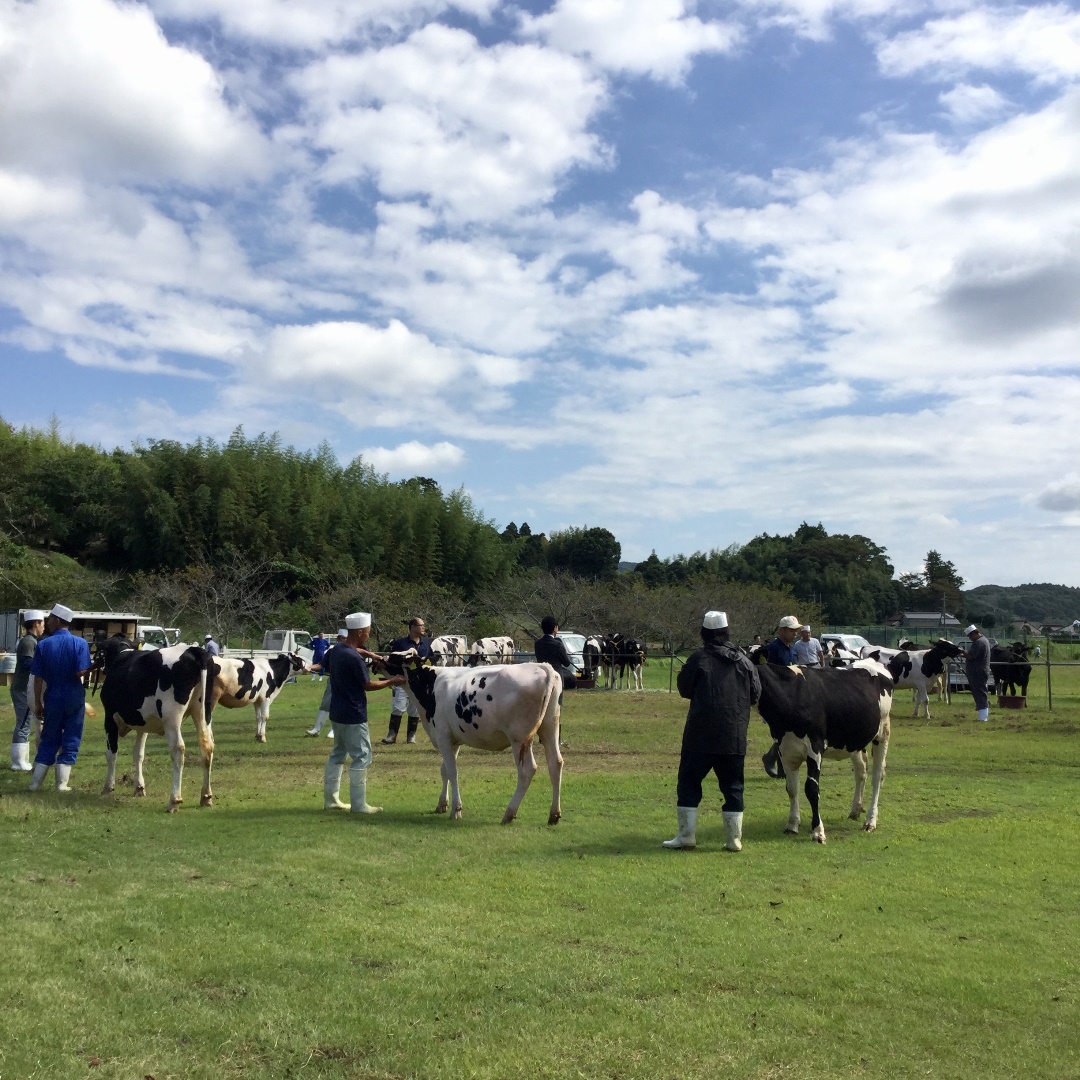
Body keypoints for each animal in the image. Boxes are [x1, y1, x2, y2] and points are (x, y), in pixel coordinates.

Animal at [98, 639, 213, 812]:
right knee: (207, 747)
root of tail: (194, 650)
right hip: (203, 713)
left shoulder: (109, 718)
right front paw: (139, 787)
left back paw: (174, 800)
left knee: (178, 749)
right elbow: (138, 754)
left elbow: (111, 754)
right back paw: (206, 796)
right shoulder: (143, 725)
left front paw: (108, 787)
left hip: (171, 718)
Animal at [390, 648, 565, 825]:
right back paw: (554, 815)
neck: (432, 684)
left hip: (519, 738)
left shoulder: (442, 736)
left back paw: (509, 813)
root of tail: (542, 667)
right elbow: (444, 770)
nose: (381, 660)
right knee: (555, 763)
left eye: (393, 657)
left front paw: (456, 810)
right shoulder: (453, 740)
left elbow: (452, 771)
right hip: (550, 727)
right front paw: (442, 804)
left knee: (527, 770)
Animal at [751, 648, 894, 842]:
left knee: (877, 776)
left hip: (882, 733)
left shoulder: (815, 746)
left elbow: (811, 789)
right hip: (854, 739)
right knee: (861, 770)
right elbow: (791, 788)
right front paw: (792, 825)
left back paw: (870, 821)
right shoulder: (784, 749)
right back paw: (855, 810)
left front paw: (818, 831)